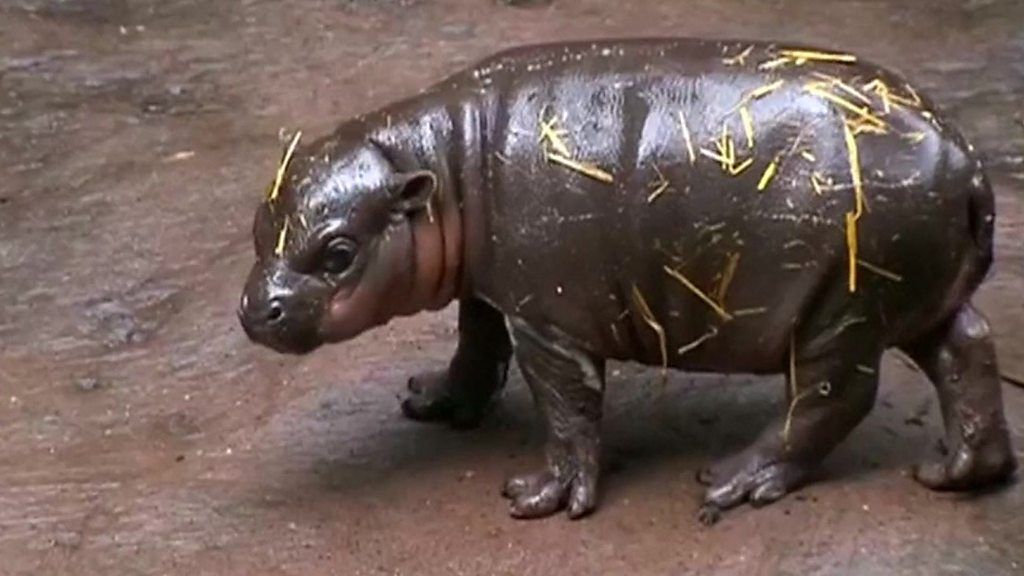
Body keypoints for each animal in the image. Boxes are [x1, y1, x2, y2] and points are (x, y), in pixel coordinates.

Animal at [238, 38, 1016, 521]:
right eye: (258, 219)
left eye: (339, 252)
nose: (253, 310)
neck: (443, 159)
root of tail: (965, 159)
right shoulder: (495, 289)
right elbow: (475, 345)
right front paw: (430, 399)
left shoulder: (547, 318)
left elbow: (567, 404)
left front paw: (539, 498)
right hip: (910, 297)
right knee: (968, 351)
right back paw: (959, 472)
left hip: (840, 309)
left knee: (831, 397)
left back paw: (730, 481)